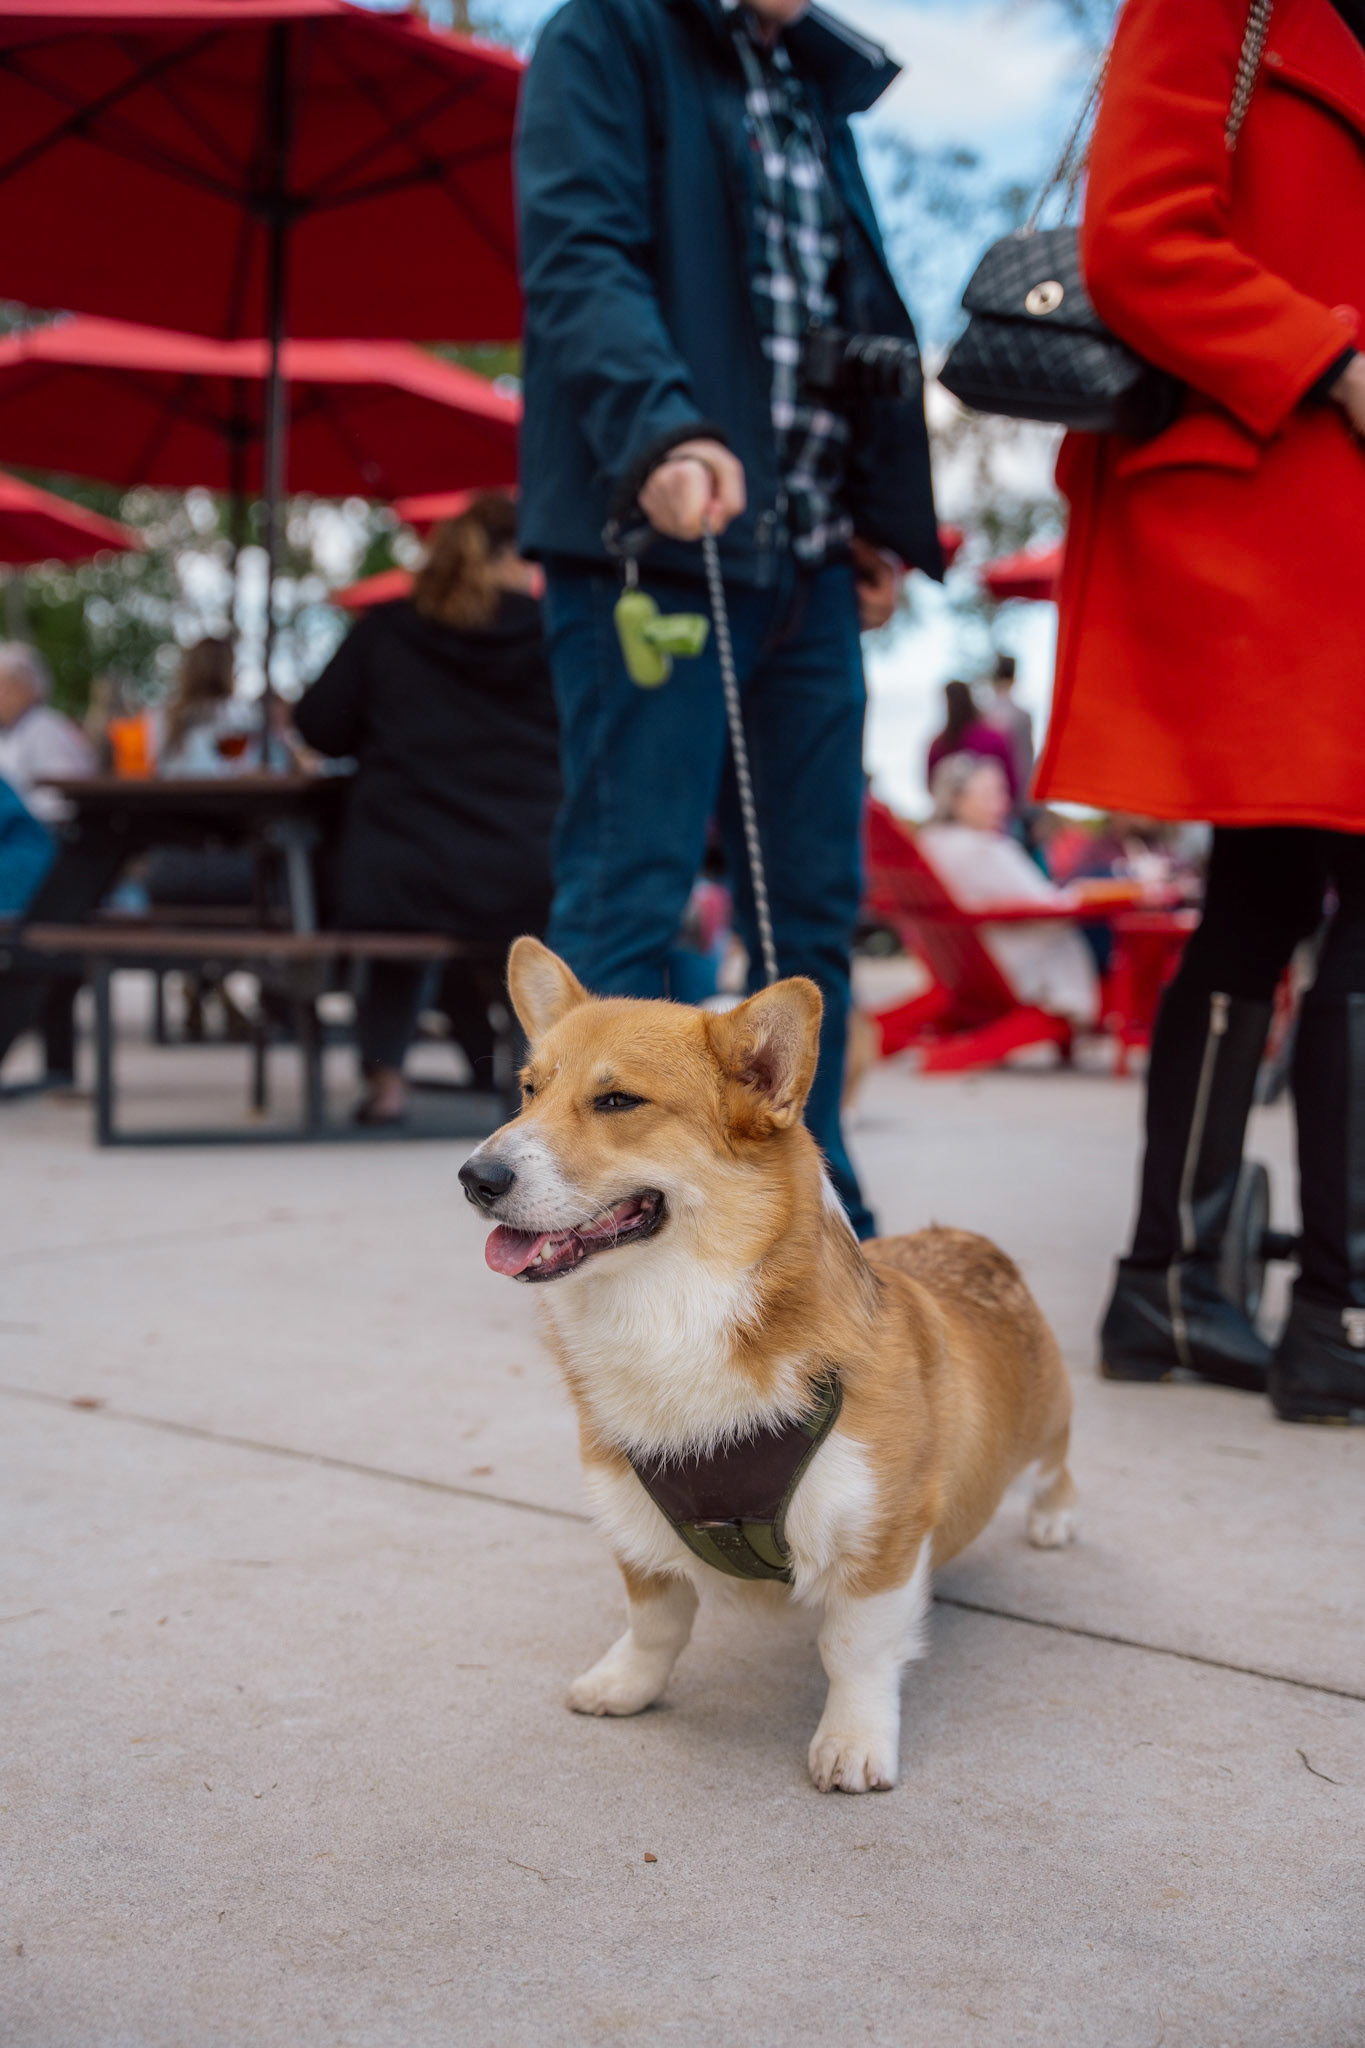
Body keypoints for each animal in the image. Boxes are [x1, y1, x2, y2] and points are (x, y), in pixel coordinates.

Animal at [460, 937, 1077, 1793]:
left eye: (617, 1101)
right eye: (526, 1090)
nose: (474, 1178)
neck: (676, 1311)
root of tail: (963, 1237)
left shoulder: (877, 1534)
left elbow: (853, 1650)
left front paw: (852, 1742)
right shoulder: (633, 1523)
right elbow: (653, 1623)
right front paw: (625, 1686)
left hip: (1047, 1417)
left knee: (1056, 1464)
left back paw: (1052, 1519)